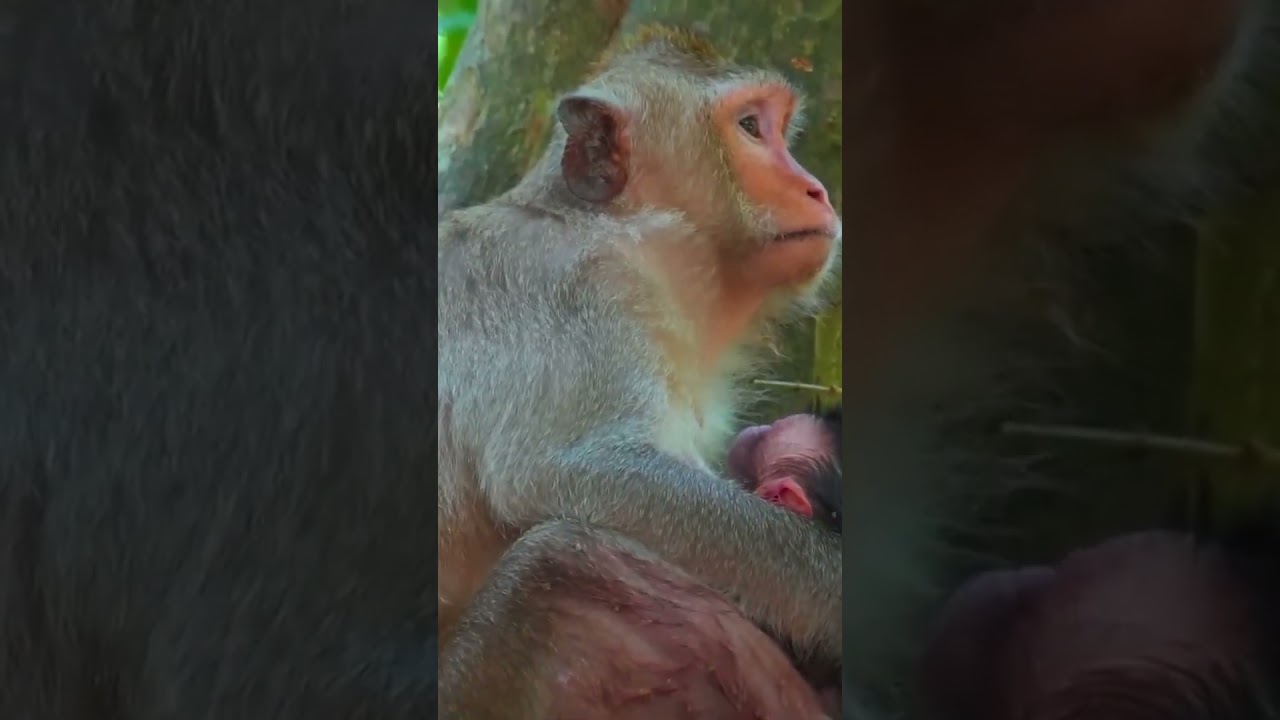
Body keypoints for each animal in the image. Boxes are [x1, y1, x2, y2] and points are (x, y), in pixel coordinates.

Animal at [437, 25, 843, 710]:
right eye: (750, 127)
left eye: (778, 128)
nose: (818, 188)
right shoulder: (575, 294)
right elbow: (566, 470)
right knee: (565, 564)